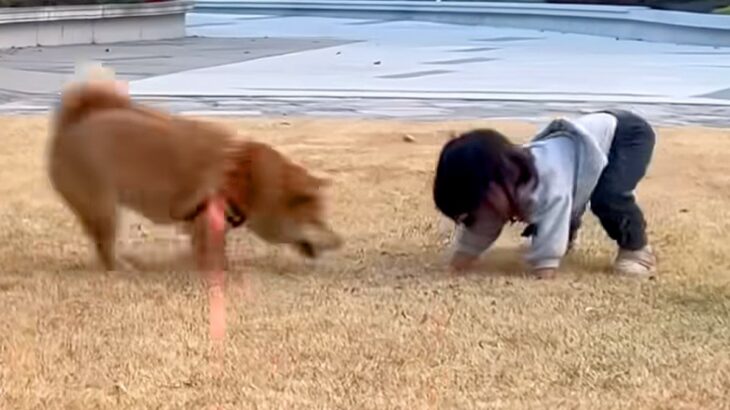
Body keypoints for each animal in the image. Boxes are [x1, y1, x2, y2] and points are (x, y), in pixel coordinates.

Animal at [47, 70, 342, 271]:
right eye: (317, 221)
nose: (340, 242)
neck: (247, 177)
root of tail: (72, 124)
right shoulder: (207, 220)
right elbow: (212, 255)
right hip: (103, 206)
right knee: (104, 245)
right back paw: (121, 268)